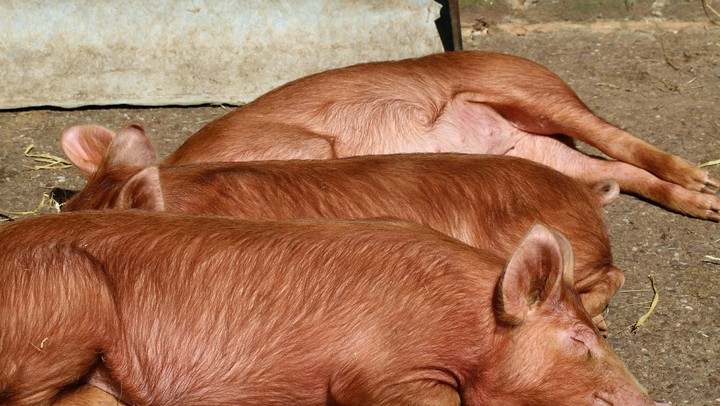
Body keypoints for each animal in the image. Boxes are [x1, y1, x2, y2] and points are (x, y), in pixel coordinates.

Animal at [152, 51, 719, 221]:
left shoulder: (303, 149)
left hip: (527, 88)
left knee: (616, 136)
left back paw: (703, 182)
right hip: (539, 149)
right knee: (615, 169)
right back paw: (708, 206)